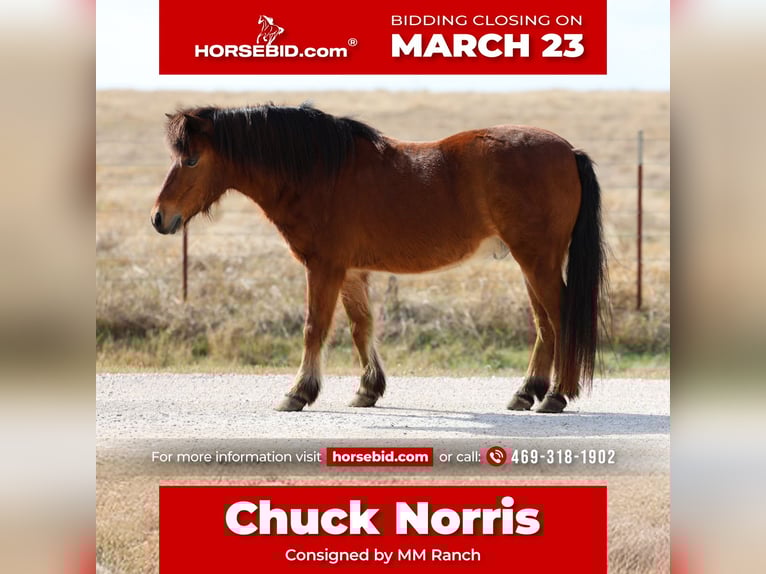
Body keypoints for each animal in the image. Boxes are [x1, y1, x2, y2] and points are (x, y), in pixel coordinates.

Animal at [151, 104, 607, 414]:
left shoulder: (325, 268)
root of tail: (568, 151)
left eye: (191, 158)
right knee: (544, 325)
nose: (159, 217)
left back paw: (555, 395)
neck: (319, 172)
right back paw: (526, 392)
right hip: (530, 262)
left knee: (560, 318)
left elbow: (314, 328)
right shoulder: (352, 272)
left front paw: (298, 392)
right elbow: (361, 327)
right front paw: (368, 389)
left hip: (538, 260)